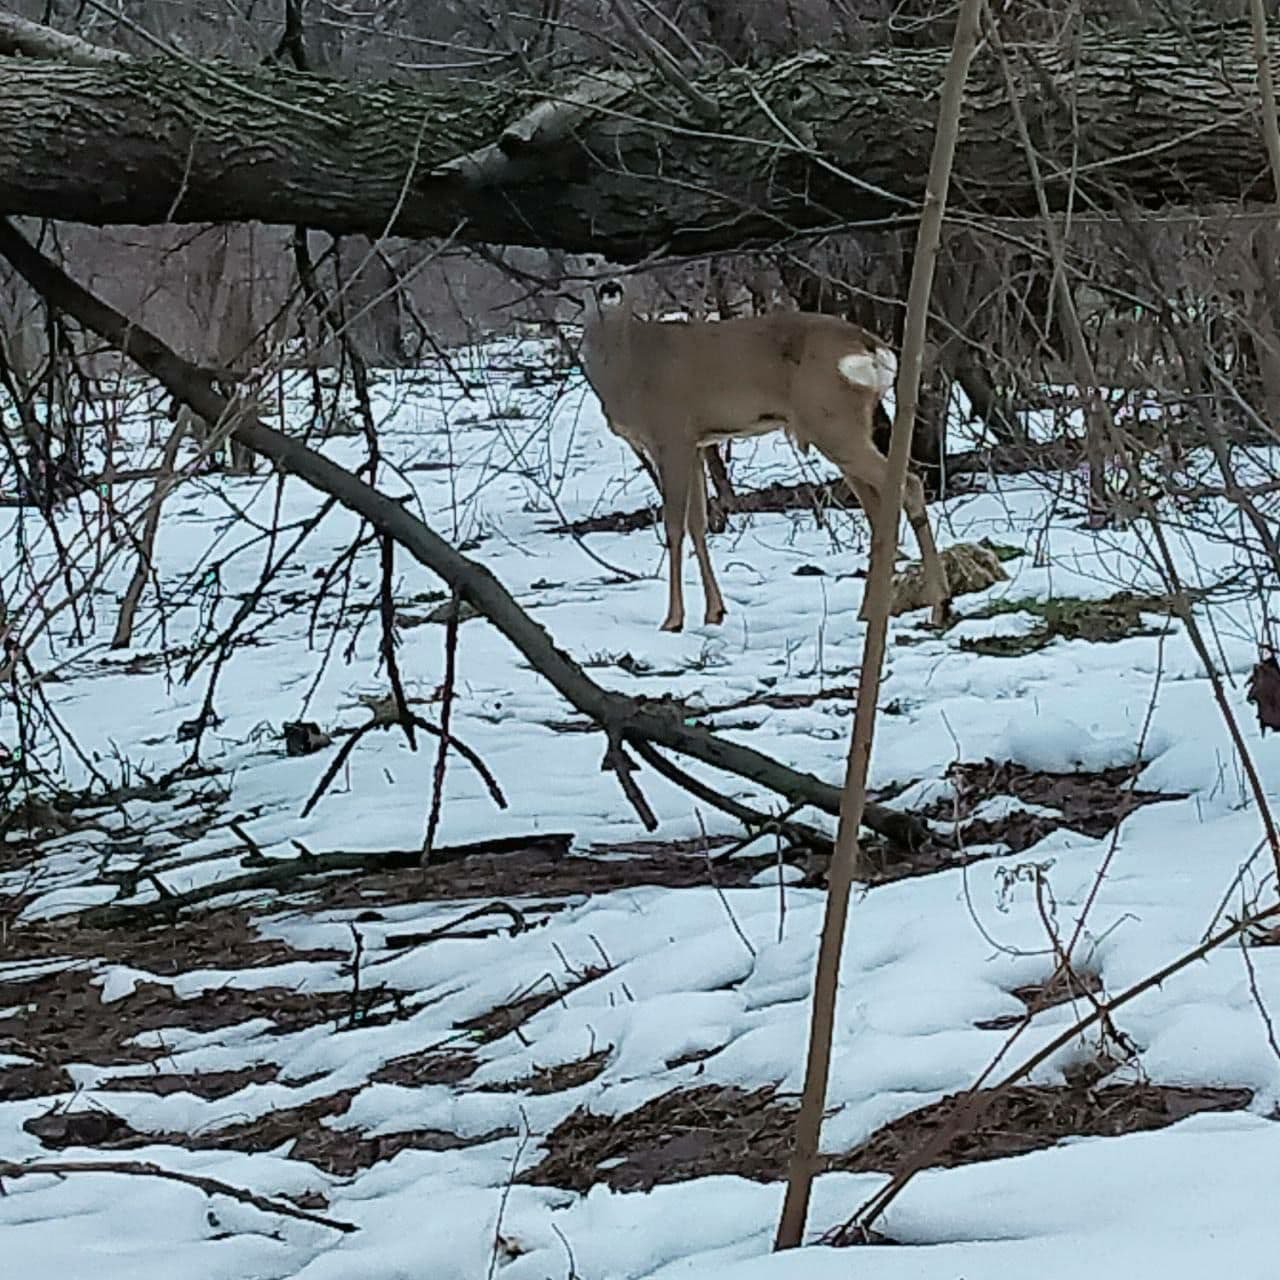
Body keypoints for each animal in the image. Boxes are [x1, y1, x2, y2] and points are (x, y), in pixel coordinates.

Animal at [581, 281, 952, 640]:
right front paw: (715, 612)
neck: (631, 368)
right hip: (841, 427)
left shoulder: (671, 435)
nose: (610, 287)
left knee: (909, 484)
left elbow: (674, 527)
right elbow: (698, 523)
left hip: (831, 421)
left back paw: (939, 606)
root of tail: (871, 346)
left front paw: (673, 620)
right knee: (879, 509)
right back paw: (870, 612)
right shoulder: (698, 443)